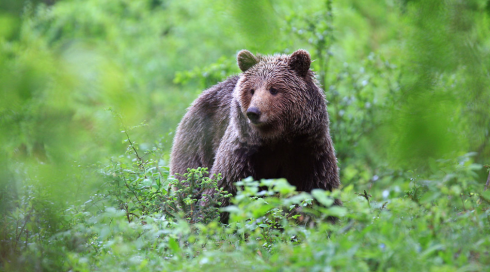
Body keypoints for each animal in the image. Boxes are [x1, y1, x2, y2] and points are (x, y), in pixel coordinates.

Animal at [170, 50, 338, 208]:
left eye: (274, 89)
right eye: (252, 90)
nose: (253, 112)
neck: (277, 138)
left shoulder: (311, 153)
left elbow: (322, 193)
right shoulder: (241, 155)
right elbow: (221, 194)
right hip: (198, 143)